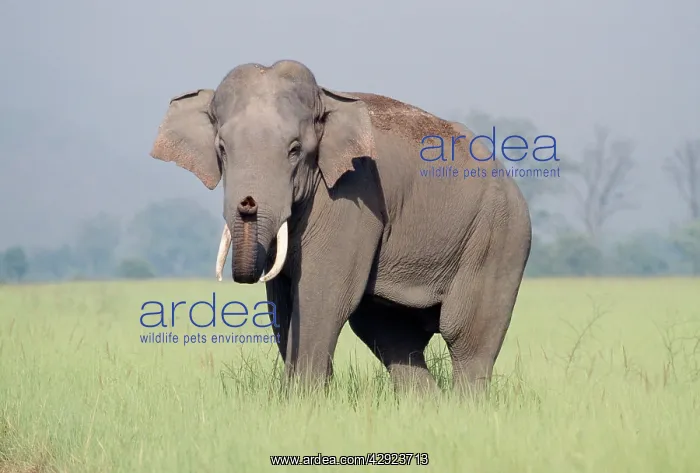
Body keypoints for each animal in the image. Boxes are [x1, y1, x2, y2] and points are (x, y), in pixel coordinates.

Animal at [148, 59, 532, 395]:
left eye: (295, 149)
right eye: (222, 148)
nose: (248, 204)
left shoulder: (352, 194)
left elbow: (323, 293)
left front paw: (303, 402)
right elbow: (282, 300)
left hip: (499, 235)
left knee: (466, 336)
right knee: (391, 335)